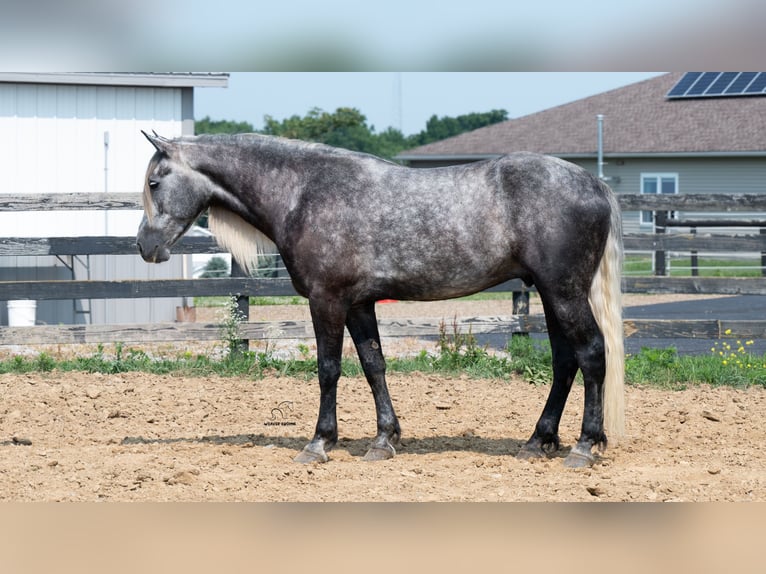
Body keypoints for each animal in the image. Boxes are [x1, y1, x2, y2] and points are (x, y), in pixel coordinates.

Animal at [136, 132, 625, 468]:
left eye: (155, 183)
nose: (145, 246)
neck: (304, 192)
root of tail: (594, 183)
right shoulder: (358, 304)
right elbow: (374, 366)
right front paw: (385, 439)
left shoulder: (327, 301)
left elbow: (328, 370)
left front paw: (319, 443)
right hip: (550, 295)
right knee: (565, 362)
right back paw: (538, 441)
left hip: (563, 292)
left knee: (591, 354)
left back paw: (584, 446)